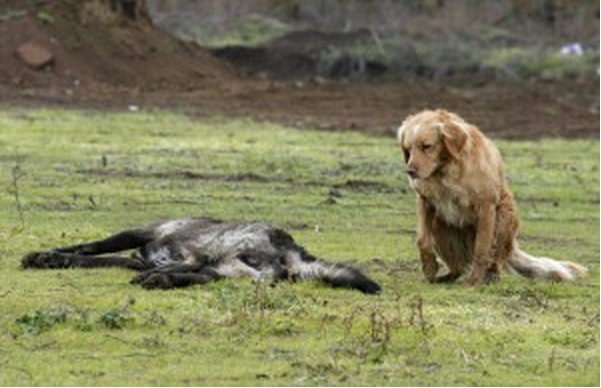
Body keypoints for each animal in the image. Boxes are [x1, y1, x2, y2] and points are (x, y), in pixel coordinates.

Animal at [396, 109, 588, 284]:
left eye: (427, 146)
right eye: (407, 149)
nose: (409, 171)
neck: (445, 171)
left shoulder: (487, 206)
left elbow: (482, 248)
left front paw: (474, 281)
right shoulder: (424, 200)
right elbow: (422, 238)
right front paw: (429, 267)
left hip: (505, 213)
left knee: (496, 259)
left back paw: (491, 276)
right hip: (439, 222)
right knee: (457, 268)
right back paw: (445, 277)